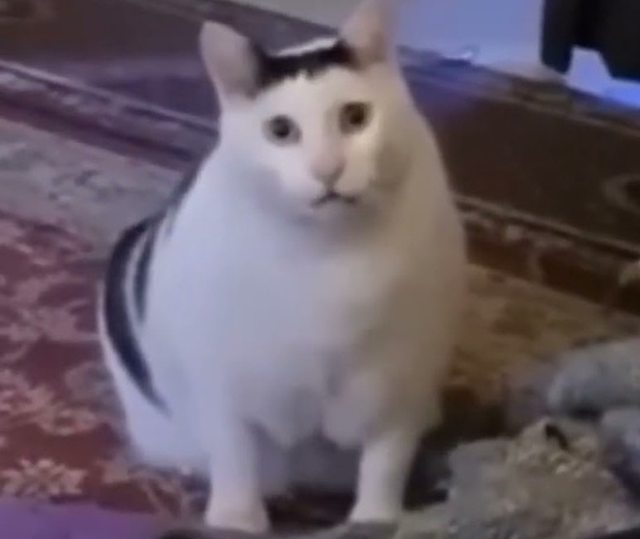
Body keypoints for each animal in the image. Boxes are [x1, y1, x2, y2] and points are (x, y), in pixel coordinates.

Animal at [98, 0, 467, 534]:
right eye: (280, 131)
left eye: (355, 117)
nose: (328, 169)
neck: (331, 259)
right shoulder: (222, 385)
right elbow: (235, 457)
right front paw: (234, 521)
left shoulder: (402, 386)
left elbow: (385, 463)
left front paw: (376, 521)